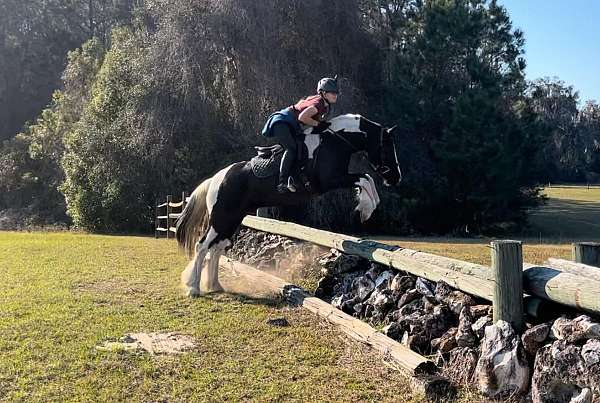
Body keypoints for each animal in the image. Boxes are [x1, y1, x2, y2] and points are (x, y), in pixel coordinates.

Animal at [173, 113, 400, 296]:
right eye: (387, 148)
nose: (396, 179)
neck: (334, 142)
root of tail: (216, 179)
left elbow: (367, 180)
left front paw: (369, 206)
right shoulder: (331, 180)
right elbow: (364, 179)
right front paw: (366, 209)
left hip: (233, 219)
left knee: (217, 247)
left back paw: (215, 285)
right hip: (221, 218)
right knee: (202, 245)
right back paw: (194, 288)